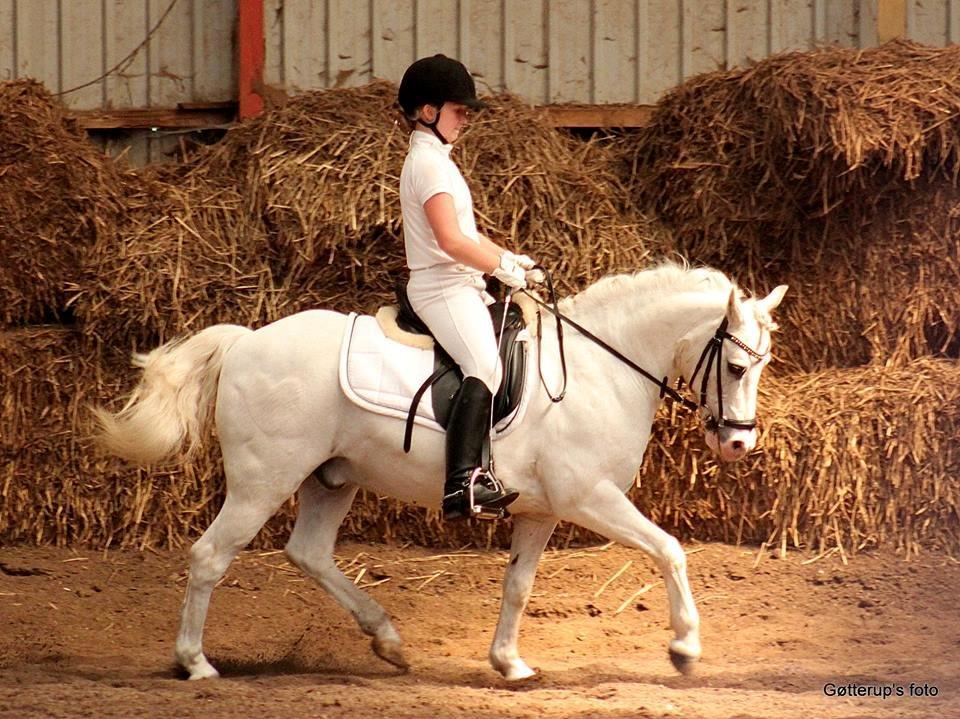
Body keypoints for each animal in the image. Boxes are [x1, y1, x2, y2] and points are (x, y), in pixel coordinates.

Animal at [94, 261, 787, 681]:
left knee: (309, 552)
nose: (738, 444)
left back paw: (388, 640)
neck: (600, 369)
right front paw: (685, 647)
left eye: (763, 363)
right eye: (735, 367)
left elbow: (518, 586)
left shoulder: (541, 511)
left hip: (331, 478)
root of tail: (246, 342)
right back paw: (196, 663)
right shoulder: (591, 497)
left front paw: (509, 664)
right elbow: (670, 550)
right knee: (210, 556)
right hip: (263, 481)